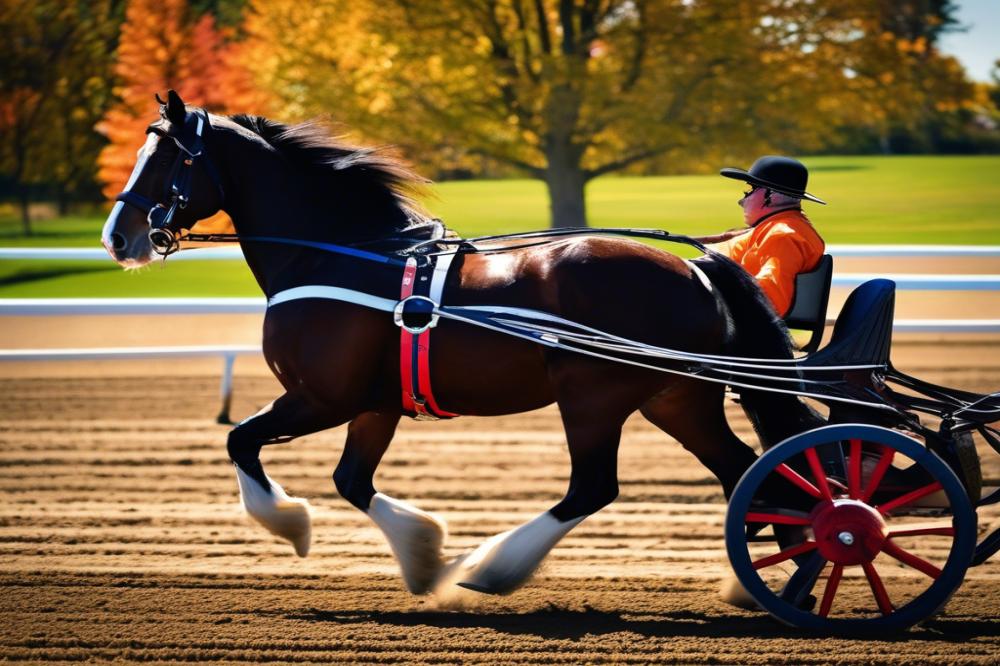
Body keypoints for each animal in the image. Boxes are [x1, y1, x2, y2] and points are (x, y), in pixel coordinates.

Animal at [101, 91, 824, 592]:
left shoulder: (320, 397)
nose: (118, 236)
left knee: (593, 487)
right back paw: (765, 578)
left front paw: (292, 524)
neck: (341, 256)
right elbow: (350, 480)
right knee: (750, 473)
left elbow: (241, 442)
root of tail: (697, 267)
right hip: (675, 398)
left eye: (168, 156)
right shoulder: (374, 404)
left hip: (594, 395)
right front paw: (422, 554)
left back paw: (494, 567)